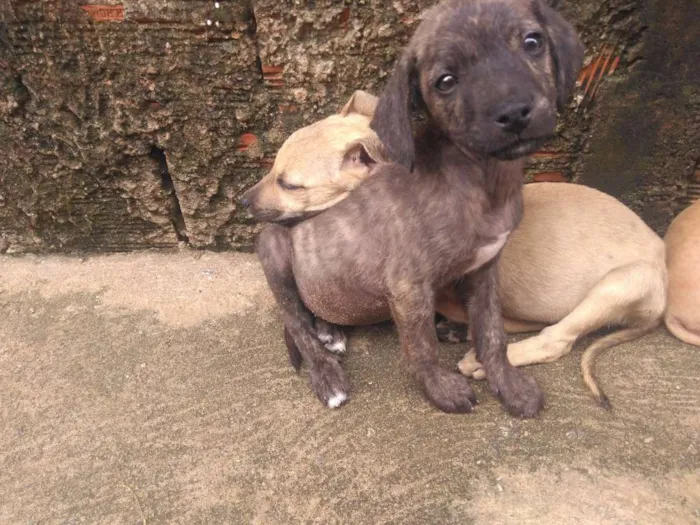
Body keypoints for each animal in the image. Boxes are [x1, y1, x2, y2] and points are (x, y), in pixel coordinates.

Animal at [243, 0, 584, 418]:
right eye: (446, 81)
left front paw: (508, 385)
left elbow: (492, 334)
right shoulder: (408, 285)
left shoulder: (484, 271)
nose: (513, 112)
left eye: (532, 43)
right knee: (296, 322)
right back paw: (326, 370)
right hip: (274, 250)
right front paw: (440, 389)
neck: (477, 179)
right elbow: (420, 347)